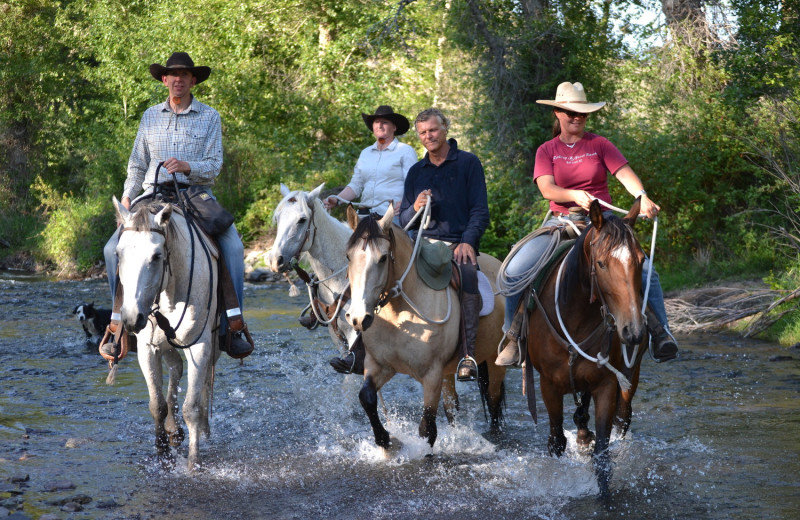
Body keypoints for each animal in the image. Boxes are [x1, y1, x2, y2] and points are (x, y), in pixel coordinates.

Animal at [344, 205, 506, 448]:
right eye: (348, 256)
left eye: (383, 258)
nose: (358, 318)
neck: (399, 314)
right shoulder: (379, 365)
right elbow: (367, 397)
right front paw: (385, 441)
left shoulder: (431, 375)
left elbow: (427, 427)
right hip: (449, 371)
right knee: (452, 407)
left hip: (495, 362)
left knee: (494, 402)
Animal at [524, 198, 648, 496]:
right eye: (601, 263)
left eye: (641, 260)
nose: (634, 331)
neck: (577, 319)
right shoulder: (548, 386)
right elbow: (556, 441)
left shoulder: (607, 385)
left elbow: (603, 453)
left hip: (629, 377)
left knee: (622, 419)